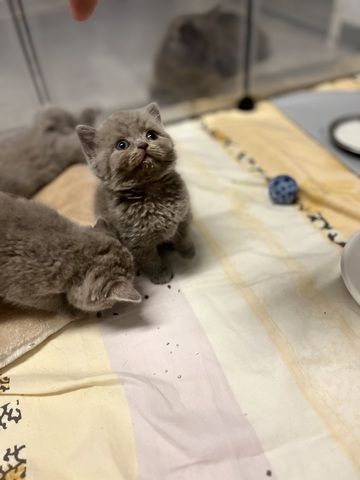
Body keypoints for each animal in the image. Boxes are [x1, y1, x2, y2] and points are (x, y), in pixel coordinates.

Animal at [76, 102, 194, 284]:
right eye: (121, 145)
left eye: (151, 135)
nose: (143, 144)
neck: (152, 193)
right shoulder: (137, 241)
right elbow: (150, 260)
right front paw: (160, 275)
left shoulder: (183, 217)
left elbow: (184, 236)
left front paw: (189, 252)